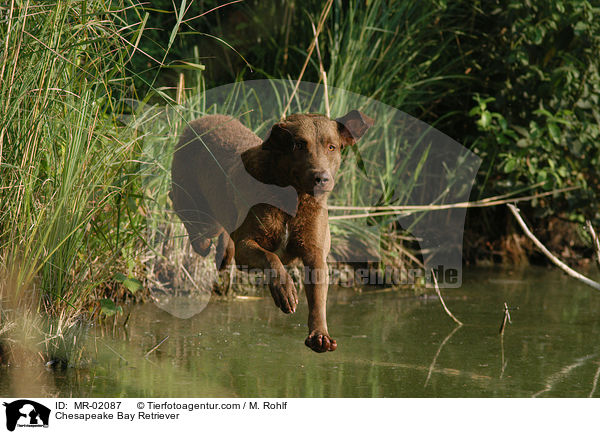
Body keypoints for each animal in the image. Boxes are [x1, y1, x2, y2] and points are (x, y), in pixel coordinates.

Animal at [171, 109, 372, 352]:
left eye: (331, 147)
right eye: (299, 145)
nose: (321, 178)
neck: (292, 198)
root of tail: (200, 120)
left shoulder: (315, 253)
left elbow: (318, 297)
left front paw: (320, 335)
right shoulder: (247, 246)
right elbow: (271, 258)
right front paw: (285, 291)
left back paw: (223, 254)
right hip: (196, 207)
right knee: (190, 218)